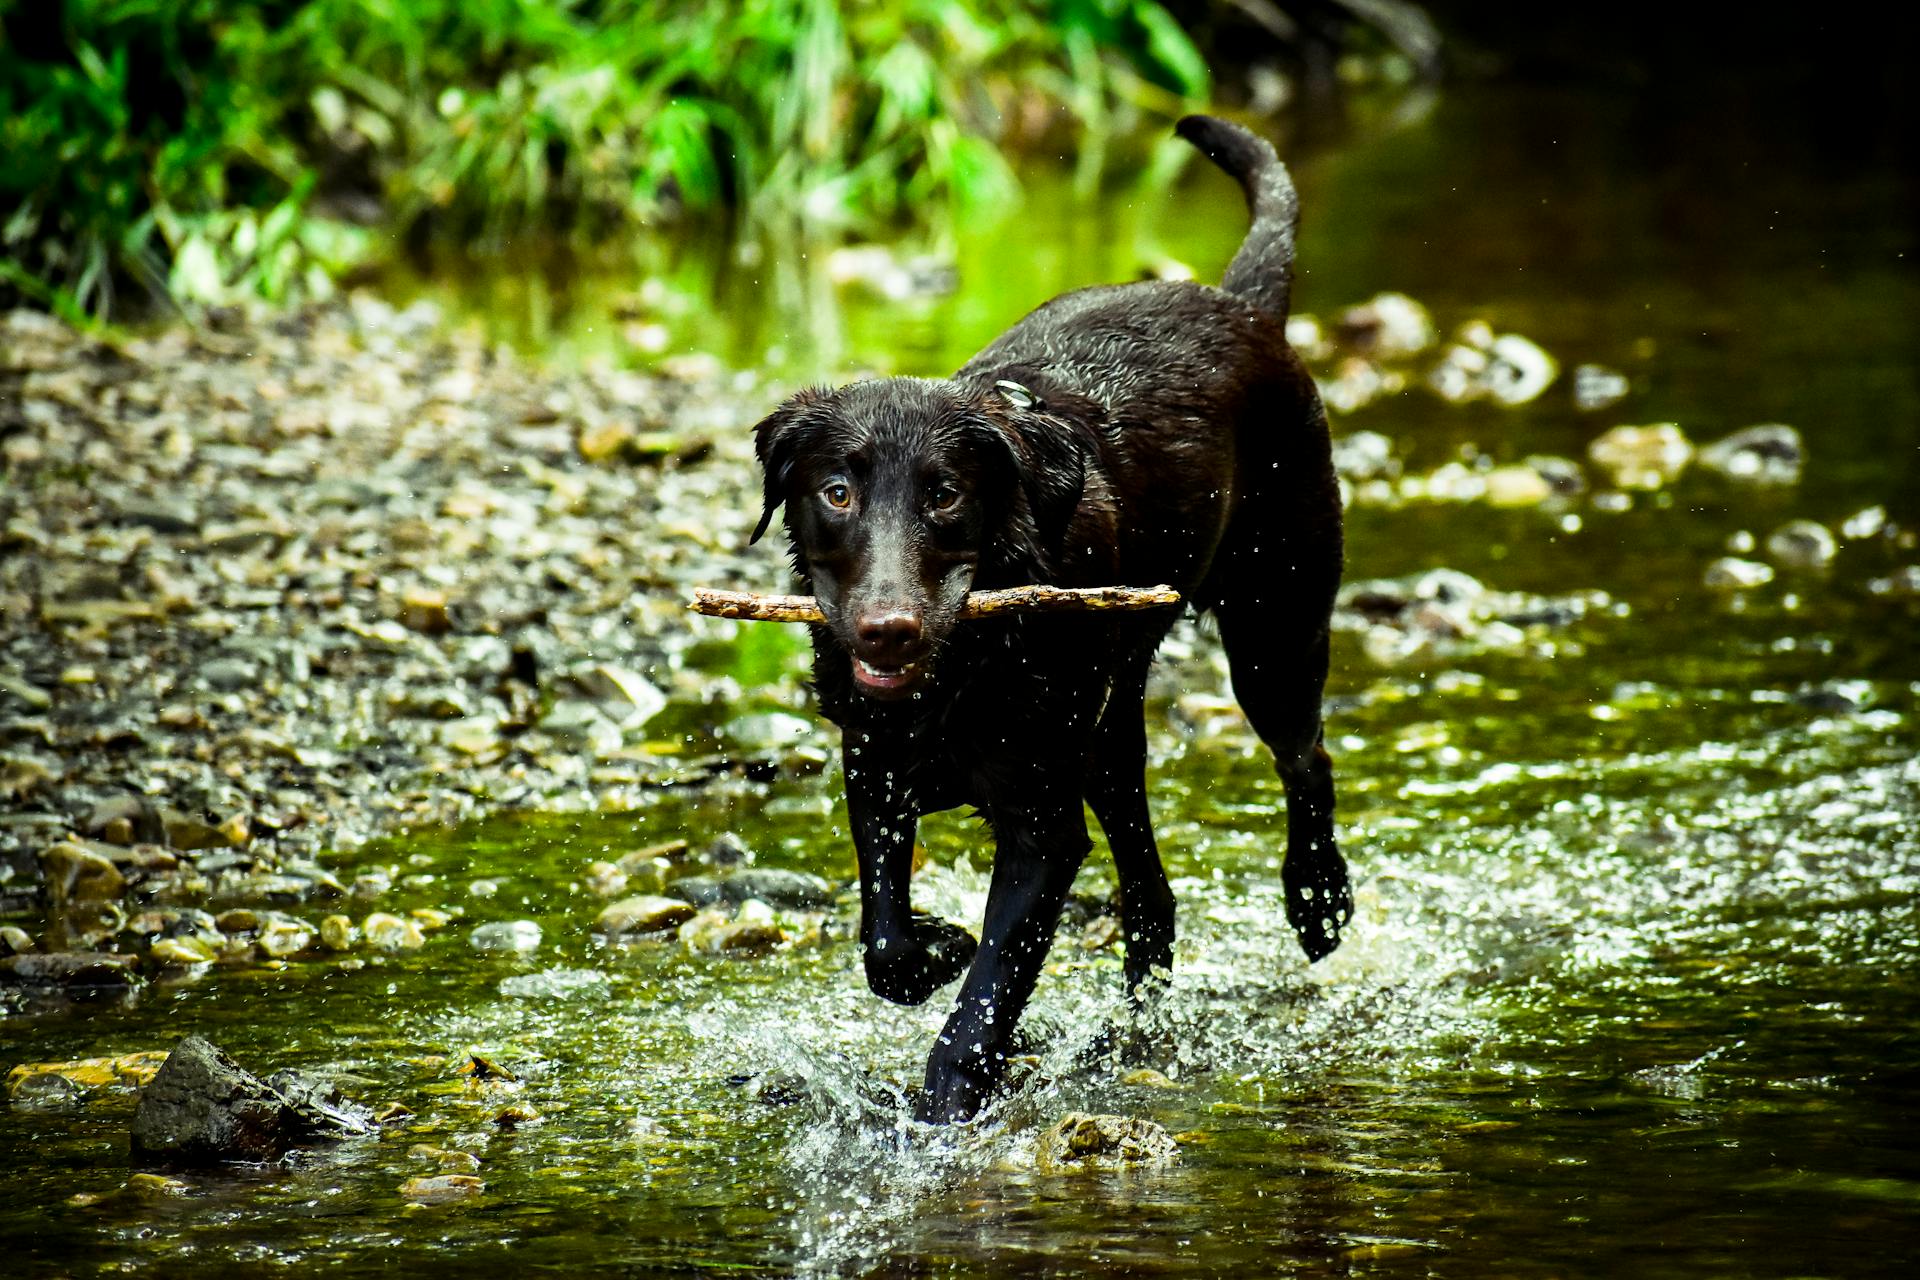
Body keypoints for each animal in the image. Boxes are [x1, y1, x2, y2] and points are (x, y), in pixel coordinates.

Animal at [748, 117, 1351, 1120]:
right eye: (836, 492)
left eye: (946, 496)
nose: (886, 630)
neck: (964, 670)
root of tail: (1241, 305)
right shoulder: (874, 768)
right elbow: (887, 944)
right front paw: (938, 947)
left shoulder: (1040, 824)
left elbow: (992, 985)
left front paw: (952, 1093)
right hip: (1110, 733)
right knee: (1151, 892)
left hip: (1274, 630)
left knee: (1307, 761)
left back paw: (1318, 901)